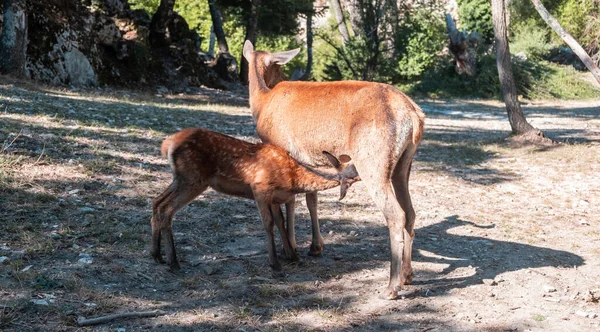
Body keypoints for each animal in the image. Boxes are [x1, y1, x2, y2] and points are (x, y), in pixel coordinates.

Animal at [150, 127, 358, 272]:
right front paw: (275, 264)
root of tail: (167, 144)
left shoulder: (275, 198)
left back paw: (157, 255)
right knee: (167, 209)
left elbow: (281, 222)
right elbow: (268, 223)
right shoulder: (260, 188)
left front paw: (293, 257)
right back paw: (173, 262)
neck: (292, 179)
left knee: (157, 202)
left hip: (181, 179)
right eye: (355, 170)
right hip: (193, 178)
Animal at [241, 40, 424, 300]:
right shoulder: (307, 159)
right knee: (410, 212)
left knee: (395, 214)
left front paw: (291, 249)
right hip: (403, 164)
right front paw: (314, 246)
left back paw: (391, 286)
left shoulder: (279, 149)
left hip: (372, 160)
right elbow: (310, 198)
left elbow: (288, 202)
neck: (262, 102)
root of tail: (415, 116)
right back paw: (408, 275)